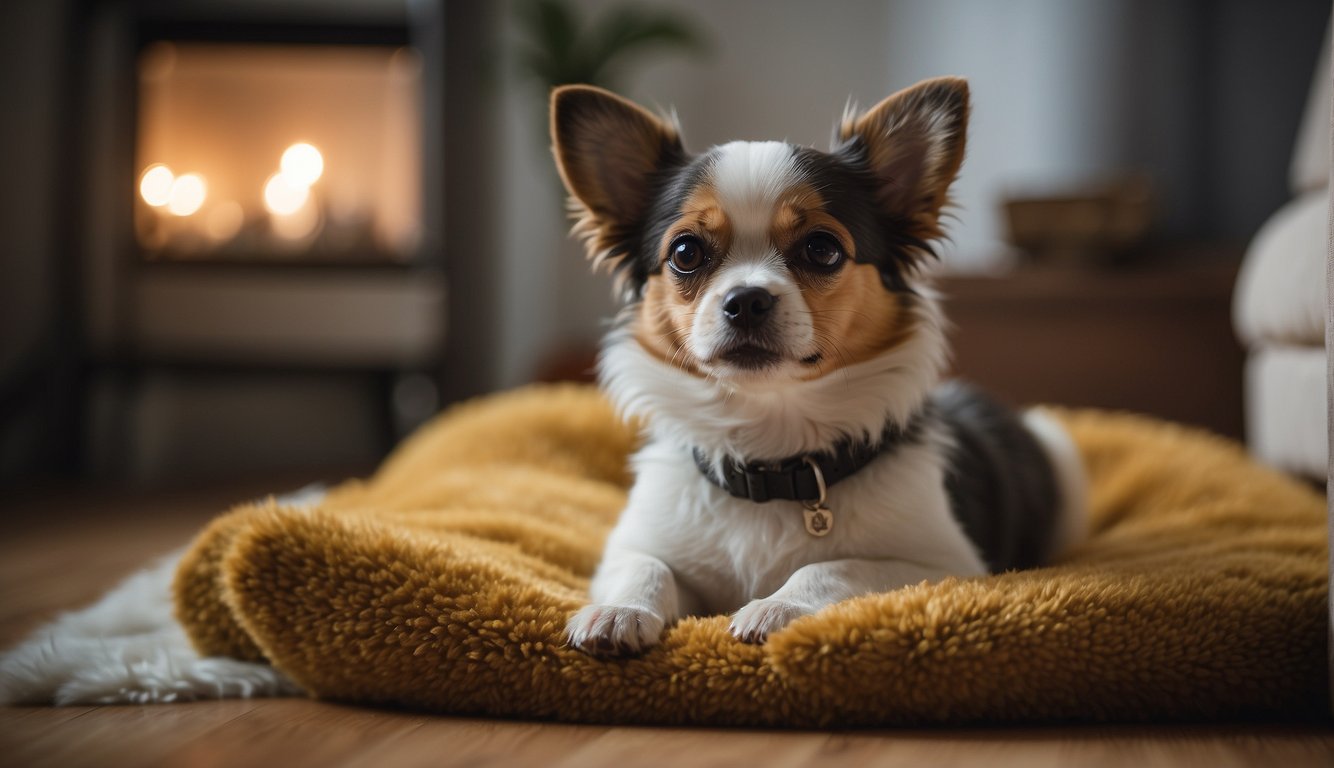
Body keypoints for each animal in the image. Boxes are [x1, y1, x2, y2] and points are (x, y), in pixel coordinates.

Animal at [549, 76, 1083, 653]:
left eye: (821, 249)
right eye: (686, 252)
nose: (746, 300)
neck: (771, 454)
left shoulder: (944, 565)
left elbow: (835, 566)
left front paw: (778, 605)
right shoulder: (634, 545)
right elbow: (645, 566)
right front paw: (619, 610)